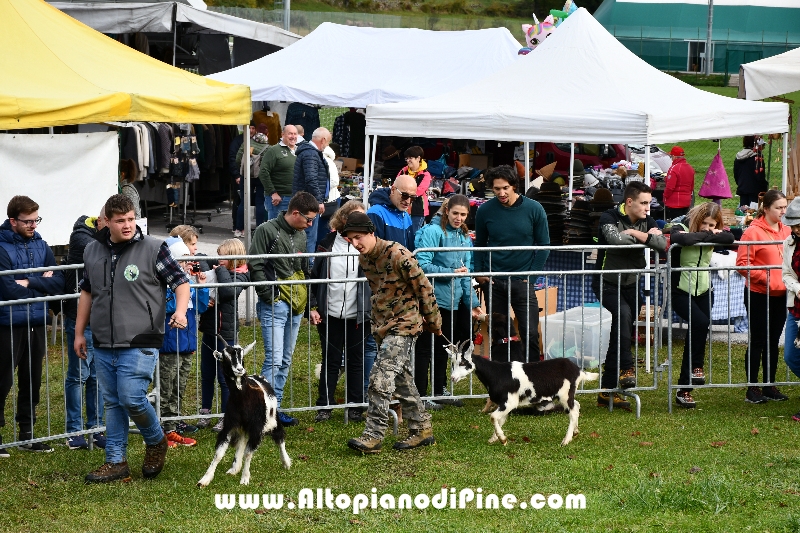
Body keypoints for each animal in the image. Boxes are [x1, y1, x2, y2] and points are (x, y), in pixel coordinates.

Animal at [197, 336, 290, 486]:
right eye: (225, 357)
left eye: (242, 356)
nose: (240, 370)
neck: (244, 397)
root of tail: (260, 377)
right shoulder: (229, 425)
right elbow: (219, 454)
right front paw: (205, 479)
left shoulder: (256, 428)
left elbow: (248, 452)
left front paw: (245, 478)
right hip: (242, 427)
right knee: (241, 442)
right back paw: (235, 468)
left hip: (273, 418)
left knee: (279, 436)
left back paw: (286, 462)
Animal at [446, 340, 596, 444]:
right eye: (453, 363)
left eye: (463, 362)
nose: (453, 378)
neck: (496, 373)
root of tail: (578, 370)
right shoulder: (504, 404)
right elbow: (500, 419)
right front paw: (494, 438)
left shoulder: (509, 402)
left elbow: (493, 417)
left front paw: (502, 439)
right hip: (567, 395)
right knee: (576, 405)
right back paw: (575, 432)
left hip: (565, 395)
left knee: (573, 412)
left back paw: (566, 440)